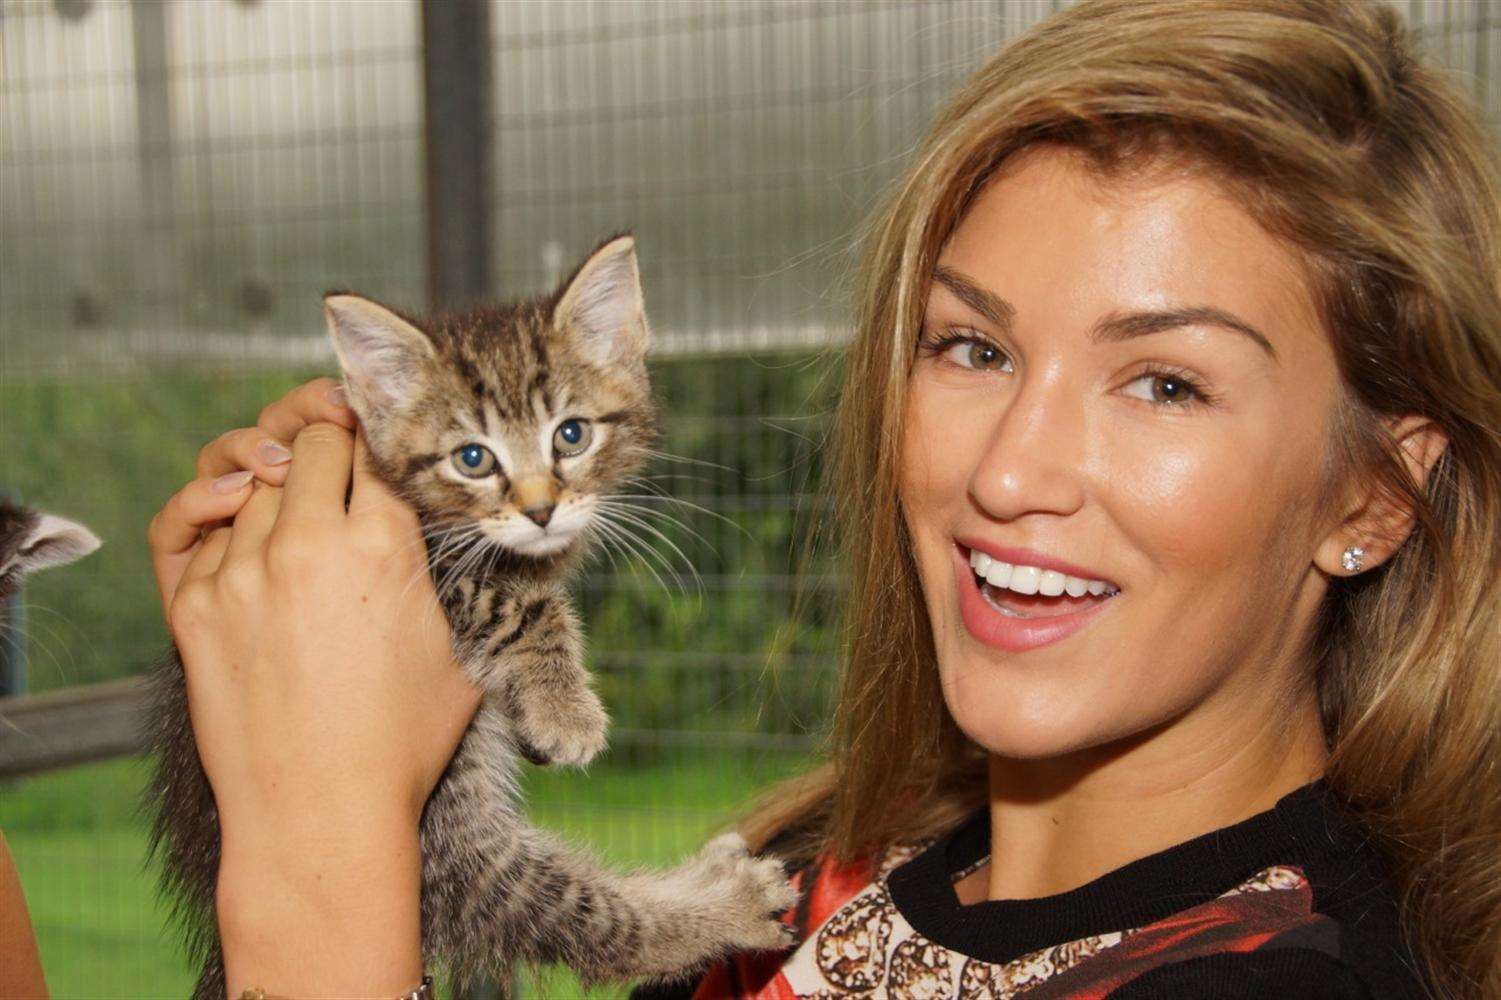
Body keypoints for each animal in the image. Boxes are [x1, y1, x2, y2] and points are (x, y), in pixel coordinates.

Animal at [144, 237, 798, 990]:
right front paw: (564, 710)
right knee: (588, 925)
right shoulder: (433, 568)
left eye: (571, 435)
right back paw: (728, 903)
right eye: (473, 458)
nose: (541, 509)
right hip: (450, 847)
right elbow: (521, 603)